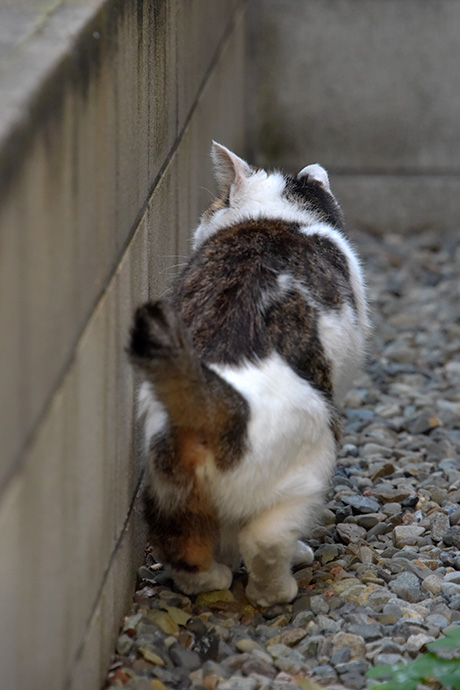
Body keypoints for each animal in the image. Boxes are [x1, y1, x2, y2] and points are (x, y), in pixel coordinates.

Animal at [129, 142, 370, 604]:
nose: (204, 217)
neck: (271, 217)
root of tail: (216, 403)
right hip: (313, 461)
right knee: (263, 539)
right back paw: (279, 585)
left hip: (166, 486)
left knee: (182, 547)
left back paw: (215, 577)